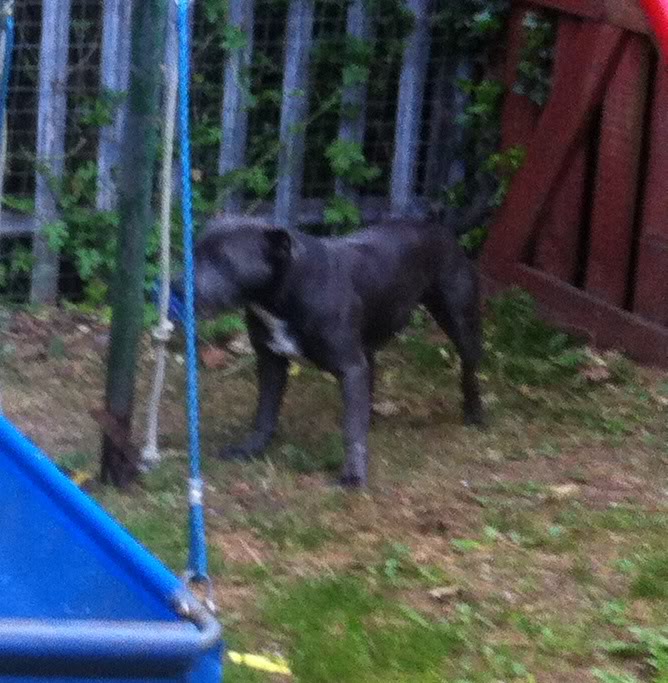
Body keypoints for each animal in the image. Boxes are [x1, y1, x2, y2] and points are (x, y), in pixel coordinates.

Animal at [190, 216, 482, 488]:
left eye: (223, 259)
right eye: (195, 250)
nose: (182, 288)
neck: (289, 288)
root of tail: (438, 226)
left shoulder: (349, 368)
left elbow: (351, 429)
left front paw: (353, 476)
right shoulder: (271, 361)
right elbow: (265, 412)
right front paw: (251, 449)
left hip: (459, 323)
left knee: (469, 370)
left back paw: (475, 413)